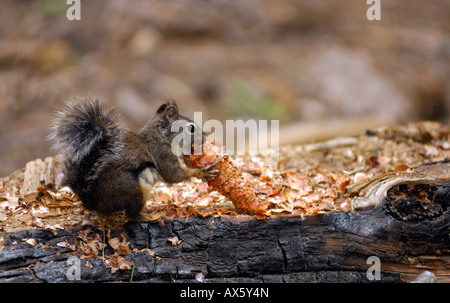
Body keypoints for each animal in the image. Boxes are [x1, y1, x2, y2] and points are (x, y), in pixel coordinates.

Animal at [48, 98, 214, 220]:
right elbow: (173, 175)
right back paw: (150, 218)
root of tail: (94, 202)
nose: (205, 137)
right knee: (132, 216)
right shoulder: (161, 152)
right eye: (191, 128)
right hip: (134, 189)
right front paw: (201, 172)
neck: (163, 135)